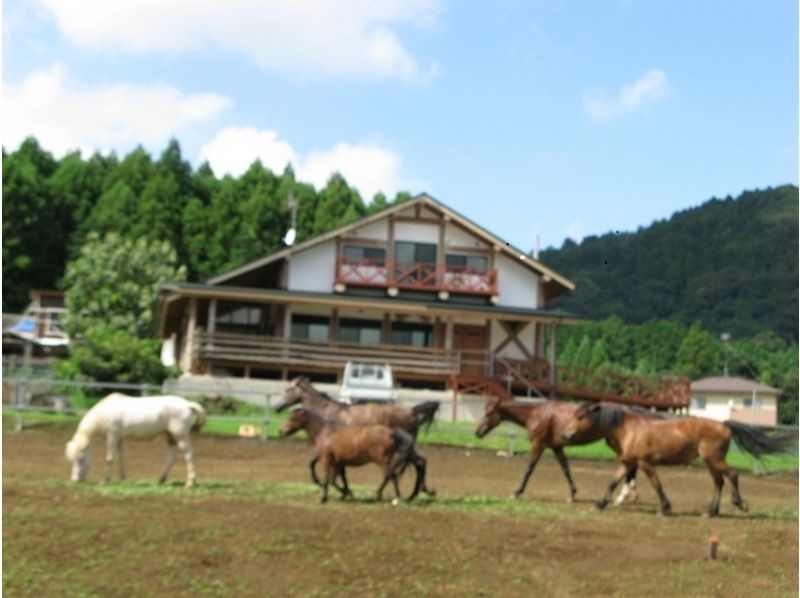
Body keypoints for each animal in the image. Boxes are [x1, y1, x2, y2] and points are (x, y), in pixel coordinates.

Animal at [65, 394, 206, 488]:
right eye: (72, 460)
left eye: (81, 459)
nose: (75, 480)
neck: (105, 411)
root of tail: (188, 404)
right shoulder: (119, 439)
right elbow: (119, 457)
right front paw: (123, 478)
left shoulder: (112, 436)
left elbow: (109, 458)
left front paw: (104, 480)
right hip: (170, 436)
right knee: (171, 457)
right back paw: (161, 479)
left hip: (180, 436)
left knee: (189, 455)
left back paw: (190, 482)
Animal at [280, 410, 428, 504]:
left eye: (293, 418)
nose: (281, 431)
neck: (325, 433)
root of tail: (392, 432)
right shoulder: (338, 462)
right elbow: (336, 480)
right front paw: (346, 493)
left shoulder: (326, 460)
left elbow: (327, 479)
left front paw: (323, 498)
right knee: (394, 474)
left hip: (382, 461)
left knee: (391, 476)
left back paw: (394, 498)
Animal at [476, 400, 636, 504]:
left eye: (489, 413)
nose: (477, 432)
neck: (537, 414)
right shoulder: (556, 447)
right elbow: (566, 469)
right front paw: (572, 494)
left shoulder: (538, 445)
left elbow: (529, 469)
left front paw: (517, 492)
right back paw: (627, 495)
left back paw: (625, 495)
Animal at [564, 406, 792, 516]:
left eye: (581, 417)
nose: (566, 435)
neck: (631, 430)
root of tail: (724, 425)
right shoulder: (628, 462)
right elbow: (613, 482)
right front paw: (600, 503)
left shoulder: (645, 463)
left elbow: (657, 485)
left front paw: (665, 507)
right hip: (711, 462)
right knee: (719, 482)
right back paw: (711, 511)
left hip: (714, 459)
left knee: (732, 475)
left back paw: (739, 504)